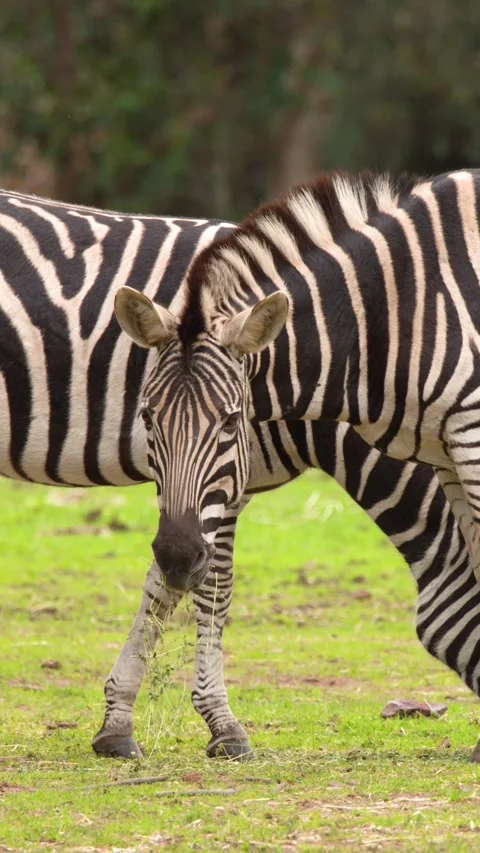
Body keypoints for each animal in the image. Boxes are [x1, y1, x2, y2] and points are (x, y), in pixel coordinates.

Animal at [0, 184, 471, 763]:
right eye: (145, 416)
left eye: (231, 419)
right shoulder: (223, 484)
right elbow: (212, 591)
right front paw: (223, 726)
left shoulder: (210, 489)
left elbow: (165, 585)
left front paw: (116, 721)